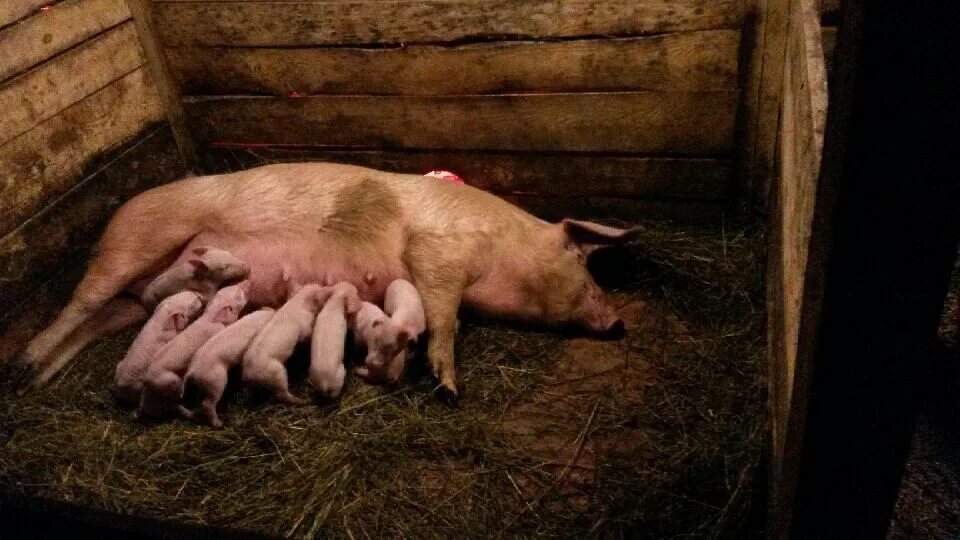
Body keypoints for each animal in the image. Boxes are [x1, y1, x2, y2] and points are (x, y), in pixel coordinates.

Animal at [15, 162, 640, 398]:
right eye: (586, 270)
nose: (618, 323)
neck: (499, 246)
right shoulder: (437, 252)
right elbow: (444, 313)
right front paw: (446, 385)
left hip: (134, 299)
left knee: (105, 317)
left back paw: (39, 378)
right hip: (130, 245)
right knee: (79, 304)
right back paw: (24, 367)